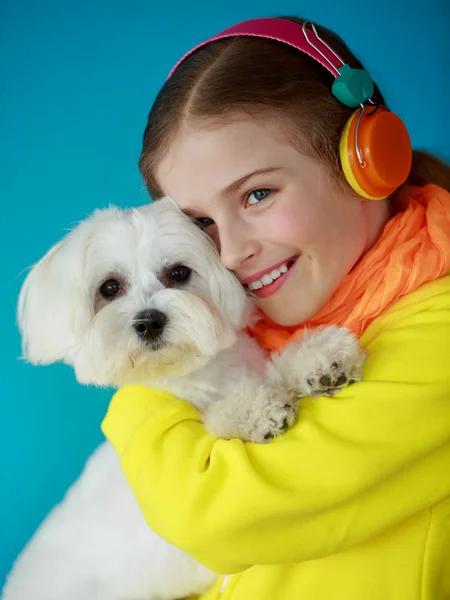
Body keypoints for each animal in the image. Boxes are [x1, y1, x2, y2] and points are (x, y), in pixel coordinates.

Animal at [4, 200, 366, 600]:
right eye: (110, 287)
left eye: (178, 272)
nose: (149, 321)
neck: (204, 378)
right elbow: (222, 419)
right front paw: (258, 412)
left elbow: (277, 368)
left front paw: (318, 358)